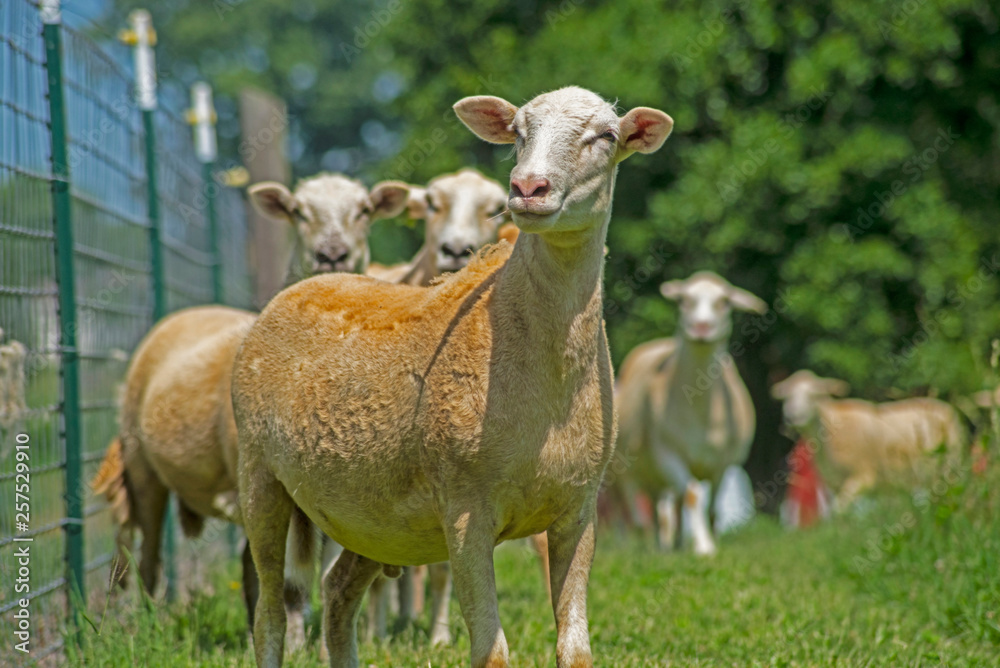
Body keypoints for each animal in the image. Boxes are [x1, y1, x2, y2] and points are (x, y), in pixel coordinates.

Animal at [90, 175, 408, 636]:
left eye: (364, 210)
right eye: (298, 212)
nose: (332, 254)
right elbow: (287, 579)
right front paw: (292, 638)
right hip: (143, 463)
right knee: (148, 556)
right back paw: (150, 623)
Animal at [614, 271, 766, 556]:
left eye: (724, 302)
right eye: (684, 300)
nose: (701, 326)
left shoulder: (723, 462)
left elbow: (713, 507)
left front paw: (710, 539)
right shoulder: (667, 452)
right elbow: (693, 496)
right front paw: (704, 547)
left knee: (667, 508)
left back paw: (673, 545)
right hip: (629, 470)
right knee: (640, 514)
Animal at [771, 369, 965, 509]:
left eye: (814, 395)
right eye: (786, 397)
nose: (791, 417)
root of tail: (948, 409)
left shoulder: (863, 475)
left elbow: (839, 509)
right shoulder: (834, 484)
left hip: (948, 467)